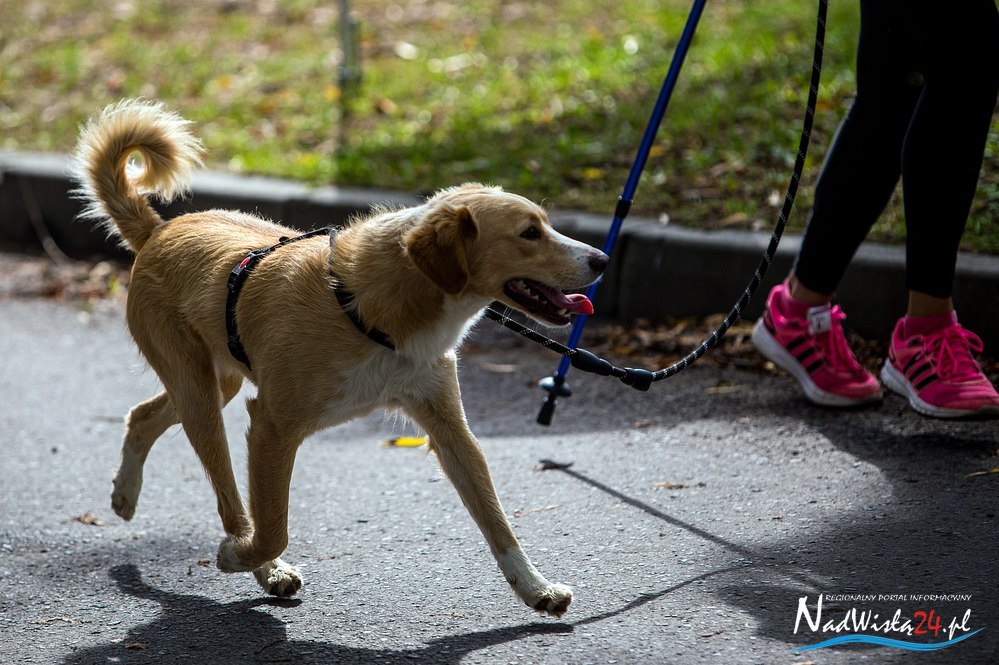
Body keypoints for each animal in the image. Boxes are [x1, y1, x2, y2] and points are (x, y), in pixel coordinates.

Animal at [72, 99, 607, 617]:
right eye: (529, 233)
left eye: (546, 225)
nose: (602, 260)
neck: (366, 306)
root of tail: (159, 230)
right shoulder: (271, 427)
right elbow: (273, 526)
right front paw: (243, 556)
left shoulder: (450, 429)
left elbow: (497, 521)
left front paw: (534, 588)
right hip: (201, 395)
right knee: (231, 502)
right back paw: (258, 564)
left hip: (216, 382)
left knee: (143, 415)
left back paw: (124, 494)